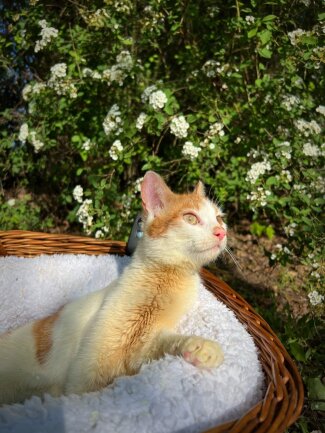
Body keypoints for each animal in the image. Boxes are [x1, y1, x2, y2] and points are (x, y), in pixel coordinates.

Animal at [0, 170, 227, 404]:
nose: (221, 232)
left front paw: (200, 347)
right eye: (190, 218)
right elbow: (78, 394)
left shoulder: (140, 350)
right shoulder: (87, 368)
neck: (162, 283)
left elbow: (162, 346)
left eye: (219, 218)